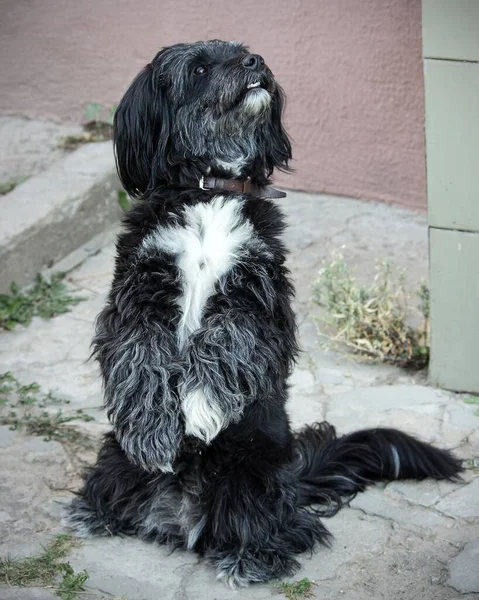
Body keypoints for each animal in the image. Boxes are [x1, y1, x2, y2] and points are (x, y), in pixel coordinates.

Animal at [64, 41, 464, 584]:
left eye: (243, 52)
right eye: (200, 66)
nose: (255, 63)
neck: (211, 189)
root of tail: (180, 517)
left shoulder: (259, 299)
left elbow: (226, 340)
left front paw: (201, 407)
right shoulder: (136, 291)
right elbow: (139, 356)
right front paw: (154, 434)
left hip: (255, 475)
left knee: (283, 528)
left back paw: (251, 558)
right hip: (113, 456)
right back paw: (96, 512)